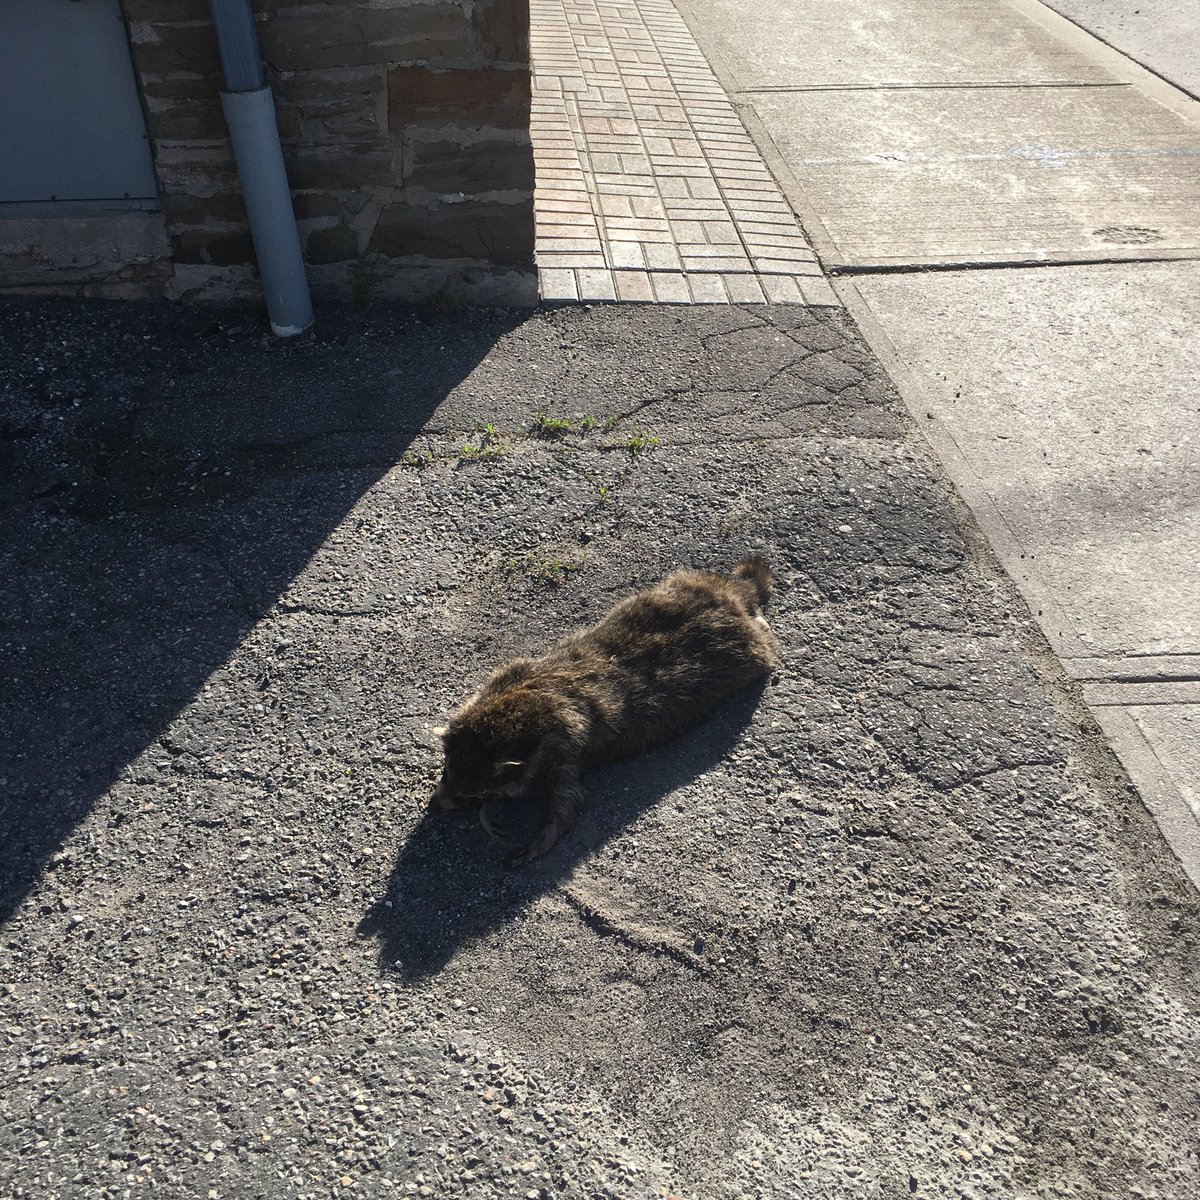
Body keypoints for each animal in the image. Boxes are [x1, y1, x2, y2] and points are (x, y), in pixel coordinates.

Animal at [432, 557, 780, 867]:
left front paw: (539, 837)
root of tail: (733, 593)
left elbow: (569, 800)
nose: (436, 806)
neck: (530, 703)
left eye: (470, 796)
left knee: (765, 638)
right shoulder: (510, 675)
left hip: (751, 649)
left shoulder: (567, 748)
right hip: (686, 581)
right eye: (447, 772)